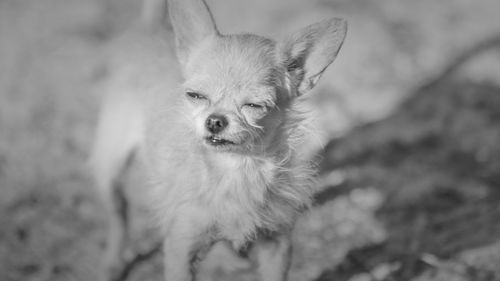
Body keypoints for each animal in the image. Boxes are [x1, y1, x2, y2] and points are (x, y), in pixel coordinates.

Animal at [89, 0, 348, 278]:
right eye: (194, 96)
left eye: (254, 105)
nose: (214, 121)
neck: (236, 168)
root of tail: (150, 29)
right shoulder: (181, 248)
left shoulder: (276, 243)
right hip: (111, 162)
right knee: (119, 211)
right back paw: (113, 260)